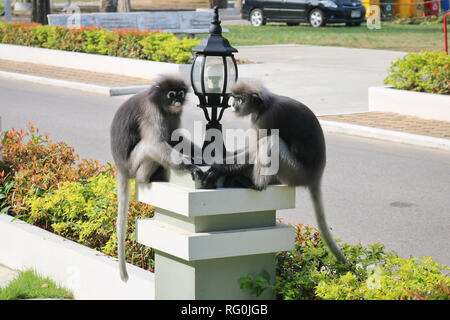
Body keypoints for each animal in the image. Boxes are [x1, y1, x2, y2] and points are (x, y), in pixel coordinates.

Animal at [110, 76, 203, 282]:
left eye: (180, 94)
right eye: (171, 94)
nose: (177, 102)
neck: (163, 106)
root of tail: (120, 166)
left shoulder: (173, 114)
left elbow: (176, 138)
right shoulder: (151, 113)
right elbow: (155, 144)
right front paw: (188, 166)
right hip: (132, 164)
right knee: (148, 147)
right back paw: (146, 178)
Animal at [203, 80, 348, 264]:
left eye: (239, 99)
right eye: (234, 98)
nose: (233, 104)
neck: (265, 106)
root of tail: (315, 176)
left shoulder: (268, 117)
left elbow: (255, 150)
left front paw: (217, 168)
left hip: (295, 172)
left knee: (272, 141)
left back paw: (255, 185)